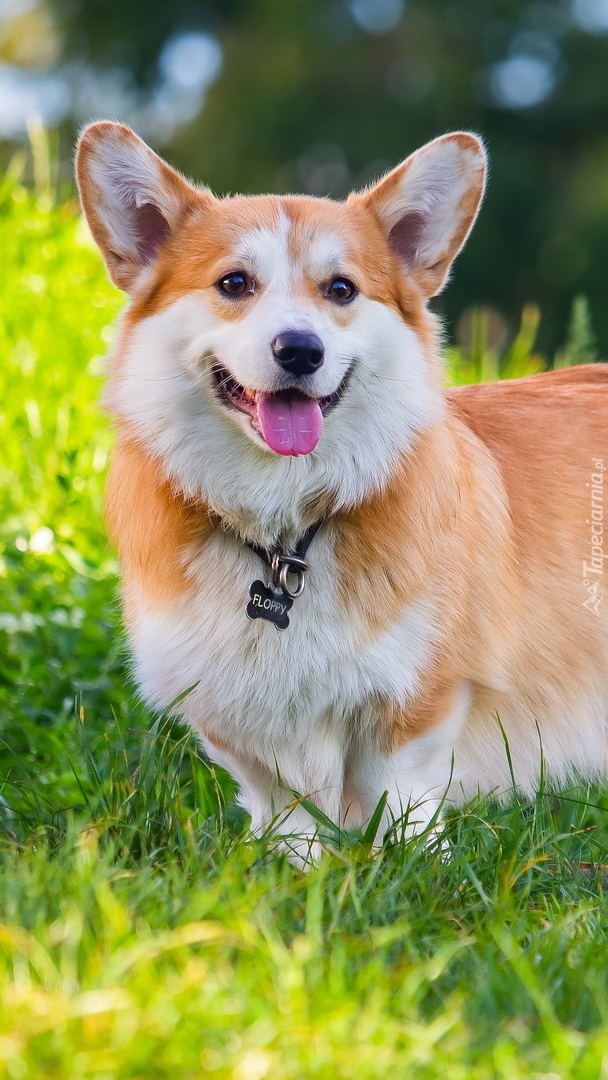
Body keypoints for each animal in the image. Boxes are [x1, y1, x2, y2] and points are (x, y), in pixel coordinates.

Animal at [76, 120, 608, 859]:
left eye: (341, 290)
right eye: (234, 282)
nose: (301, 350)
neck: (284, 530)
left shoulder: (418, 699)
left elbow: (398, 796)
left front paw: (408, 862)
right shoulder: (232, 716)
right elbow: (284, 808)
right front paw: (294, 865)